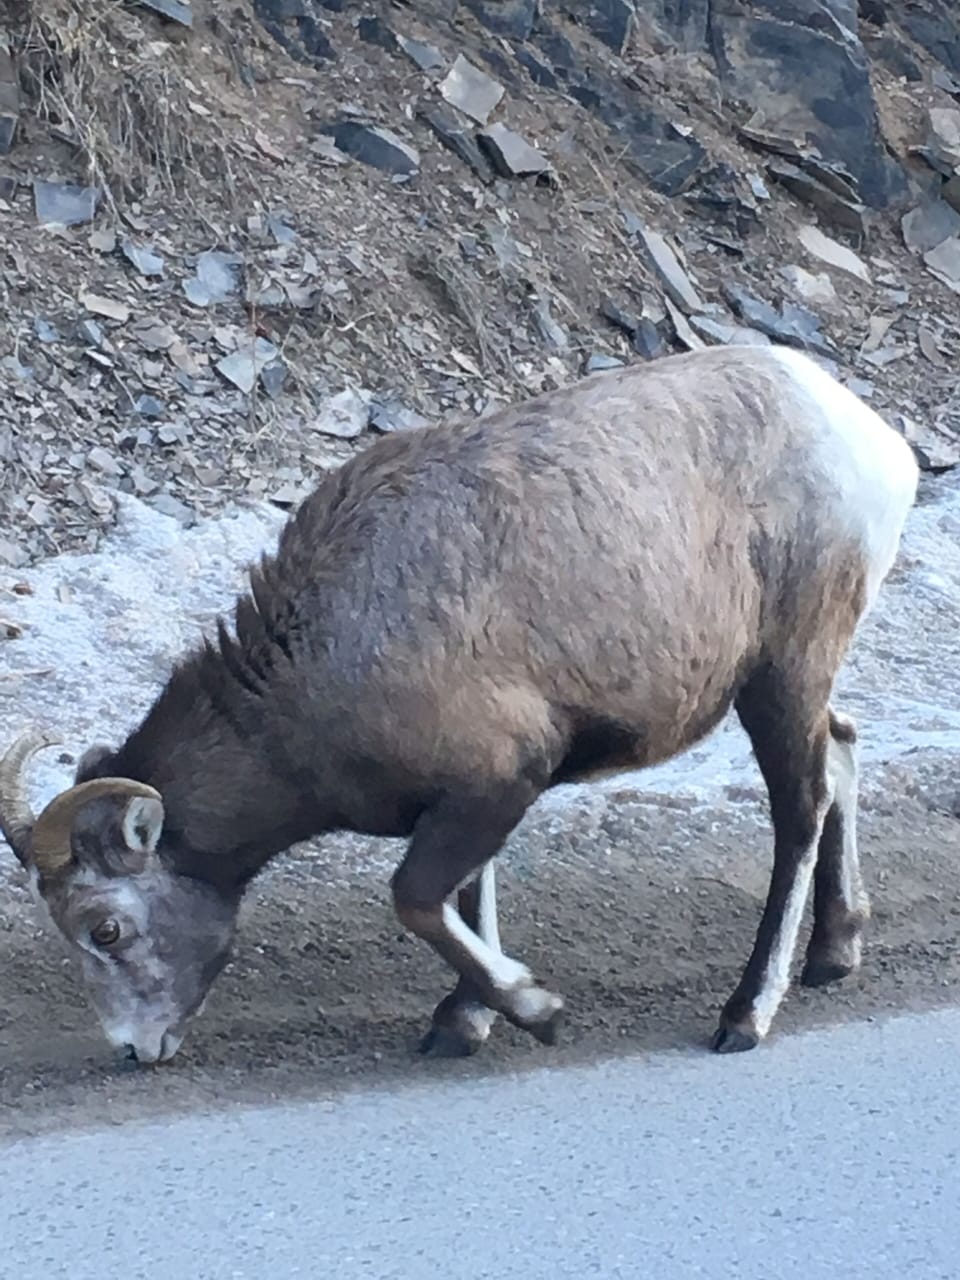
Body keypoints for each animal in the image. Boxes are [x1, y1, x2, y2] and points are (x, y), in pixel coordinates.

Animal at [0, 343, 919, 1066]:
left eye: (106, 930)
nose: (133, 1050)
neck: (318, 663)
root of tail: (874, 444)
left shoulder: (496, 781)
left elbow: (419, 899)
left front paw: (531, 1011)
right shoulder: (469, 803)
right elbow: (468, 897)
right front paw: (466, 1023)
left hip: (782, 673)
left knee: (800, 807)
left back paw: (746, 1016)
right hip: (797, 685)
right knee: (840, 749)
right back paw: (835, 955)